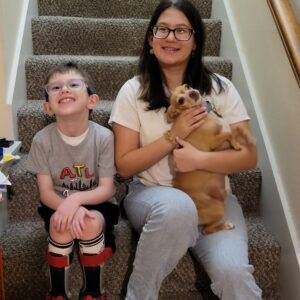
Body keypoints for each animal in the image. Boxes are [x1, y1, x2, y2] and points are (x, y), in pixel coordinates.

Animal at [166, 84, 244, 234]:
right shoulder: (214, 143)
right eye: (180, 101)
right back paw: (226, 225)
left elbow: (230, 131)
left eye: (187, 86)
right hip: (218, 209)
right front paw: (237, 144)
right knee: (207, 230)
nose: (192, 93)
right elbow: (228, 133)